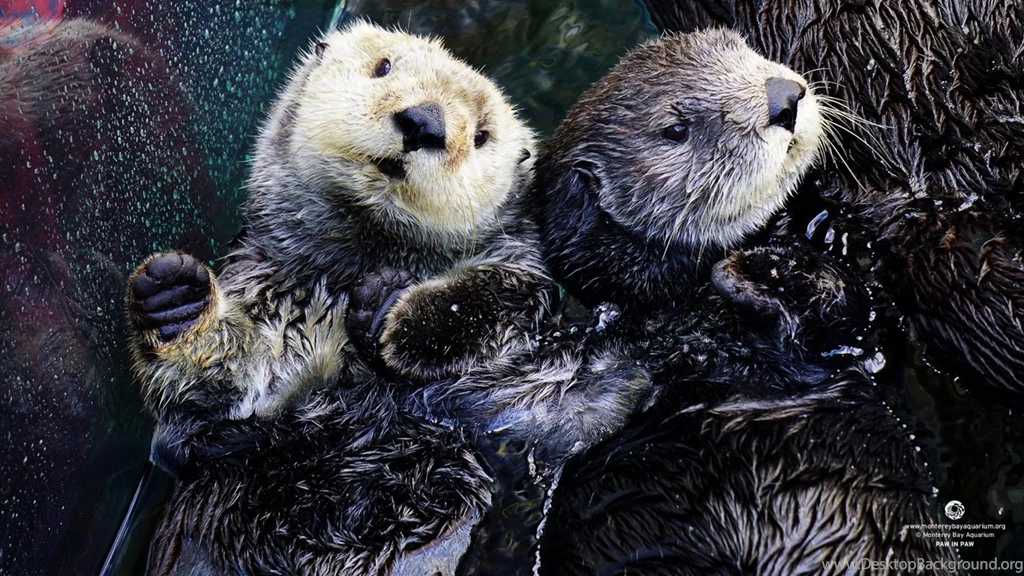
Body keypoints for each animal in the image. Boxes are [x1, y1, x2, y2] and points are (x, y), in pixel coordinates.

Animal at [519, 30, 956, 574]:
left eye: (742, 48)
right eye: (676, 129)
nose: (783, 98)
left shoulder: (868, 324)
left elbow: (854, 314)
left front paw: (770, 259)